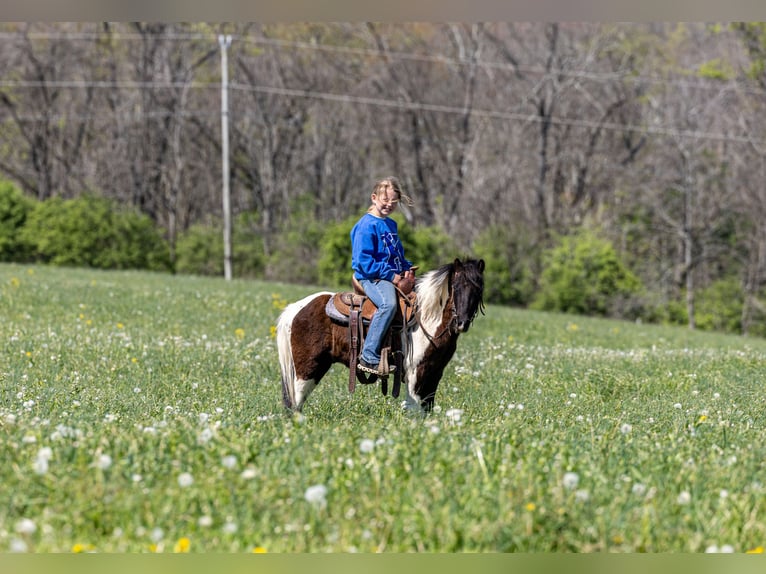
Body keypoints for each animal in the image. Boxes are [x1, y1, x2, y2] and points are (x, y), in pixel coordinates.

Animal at [276, 257, 485, 413]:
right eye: (456, 286)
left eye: (478, 289)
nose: (462, 323)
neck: (426, 318)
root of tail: (296, 308)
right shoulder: (415, 372)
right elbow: (414, 410)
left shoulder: (434, 373)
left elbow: (427, 408)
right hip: (307, 368)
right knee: (296, 402)